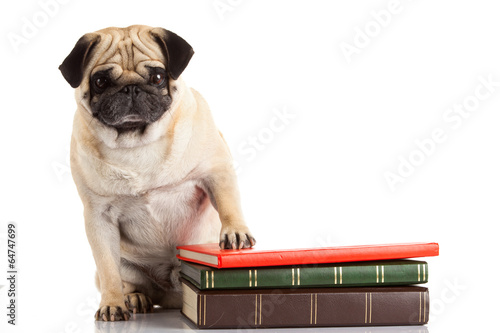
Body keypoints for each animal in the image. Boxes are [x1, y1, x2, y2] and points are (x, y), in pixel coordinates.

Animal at [59, 24, 258, 320]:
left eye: (157, 77)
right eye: (100, 82)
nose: (130, 88)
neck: (135, 143)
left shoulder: (215, 170)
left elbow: (228, 203)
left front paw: (235, 232)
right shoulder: (98, 216)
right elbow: (108, 269)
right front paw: (112, 303)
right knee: (127, 280)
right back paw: (134, 299)